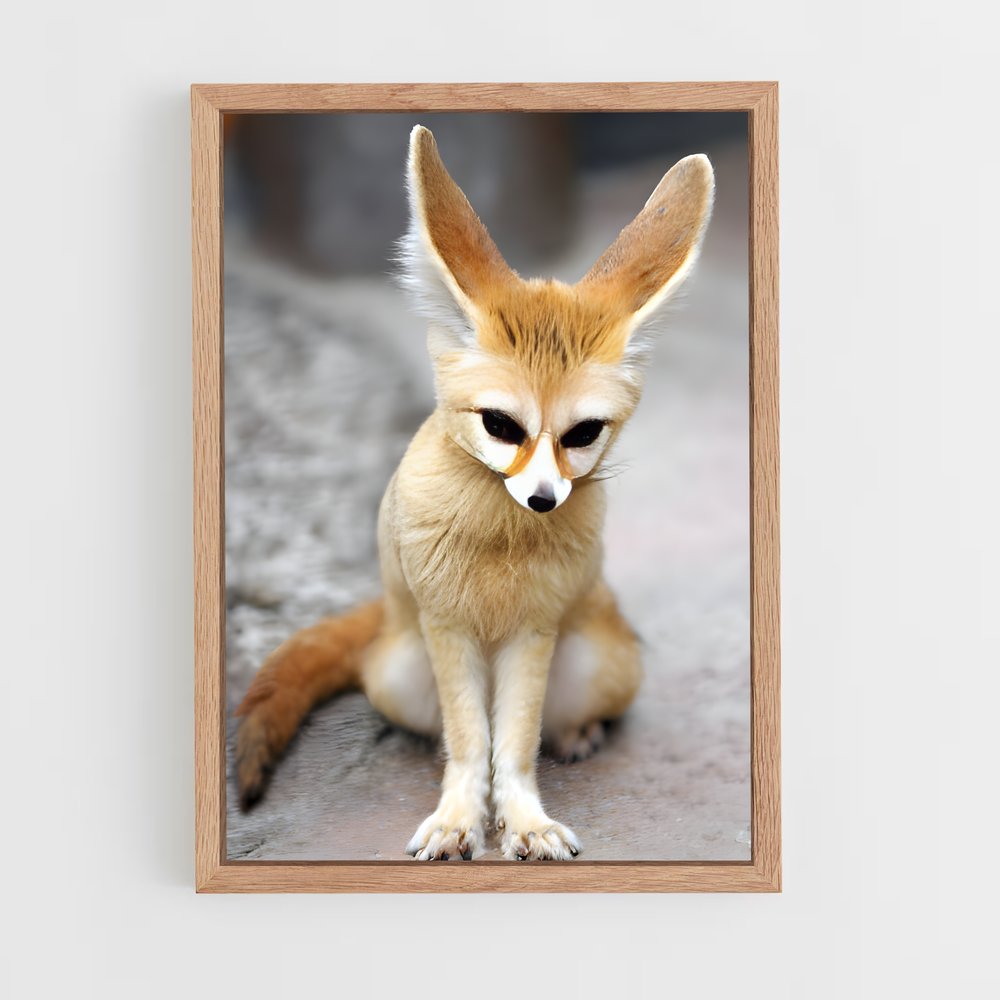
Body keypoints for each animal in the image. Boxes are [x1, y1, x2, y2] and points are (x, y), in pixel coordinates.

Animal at [234, 124, 715, 861]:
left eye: (583, 433)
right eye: (500, 425)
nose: (544, 499)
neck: (499, 543)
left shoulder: (533, 631)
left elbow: (512, 745)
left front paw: (524, 821)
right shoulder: (448, 627)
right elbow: (471, 742)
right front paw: (461, 816)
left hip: (600, 663)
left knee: (552, 720)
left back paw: (578, 733)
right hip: (401, 674)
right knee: (448, 727)